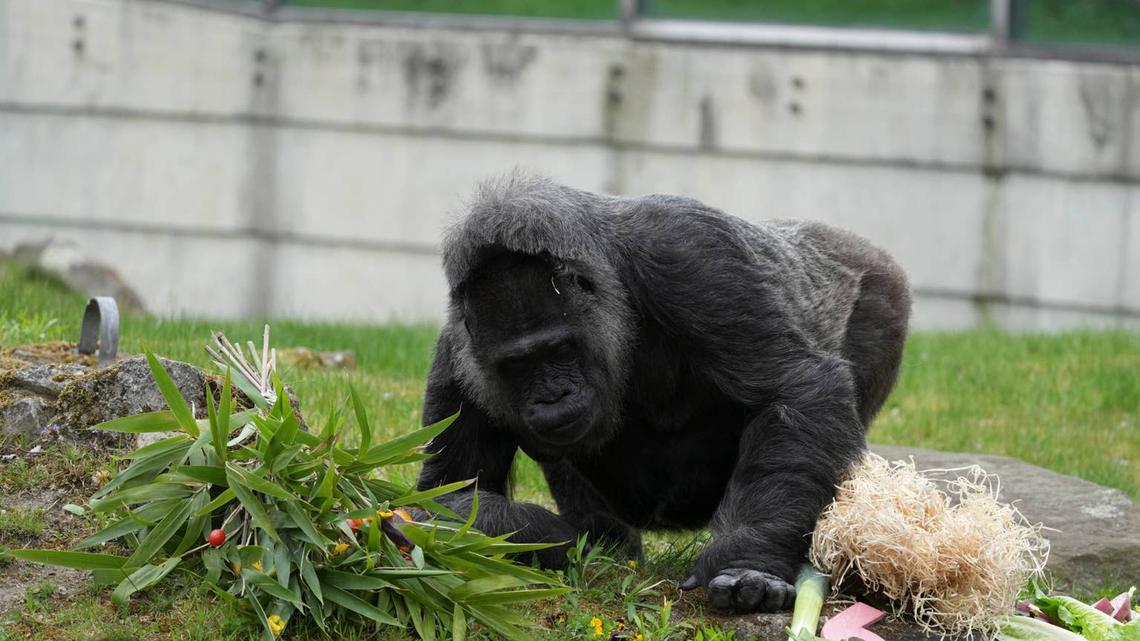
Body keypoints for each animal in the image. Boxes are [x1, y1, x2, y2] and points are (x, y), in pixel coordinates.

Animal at [415, 174, 910, 612]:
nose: (553, 397)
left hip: (881, 294)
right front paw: (538, 531)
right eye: (516, 365)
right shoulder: (458, 352)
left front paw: (748, 561)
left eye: (560, 350)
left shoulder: (692, 254)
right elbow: (442, 499)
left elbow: (792, 388)